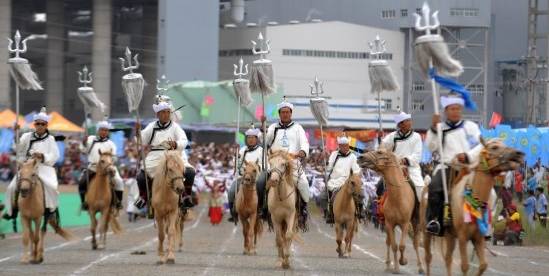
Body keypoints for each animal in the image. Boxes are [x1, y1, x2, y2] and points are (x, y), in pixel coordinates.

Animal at [424, 140, 524, 276]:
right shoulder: (462, 237)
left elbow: (483, 265)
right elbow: (465, 266)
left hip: (449, 235)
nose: (518, 154)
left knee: (448, 258)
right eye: (494, 147)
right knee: (429, 257)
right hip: (426, 231)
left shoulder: (478, 238)